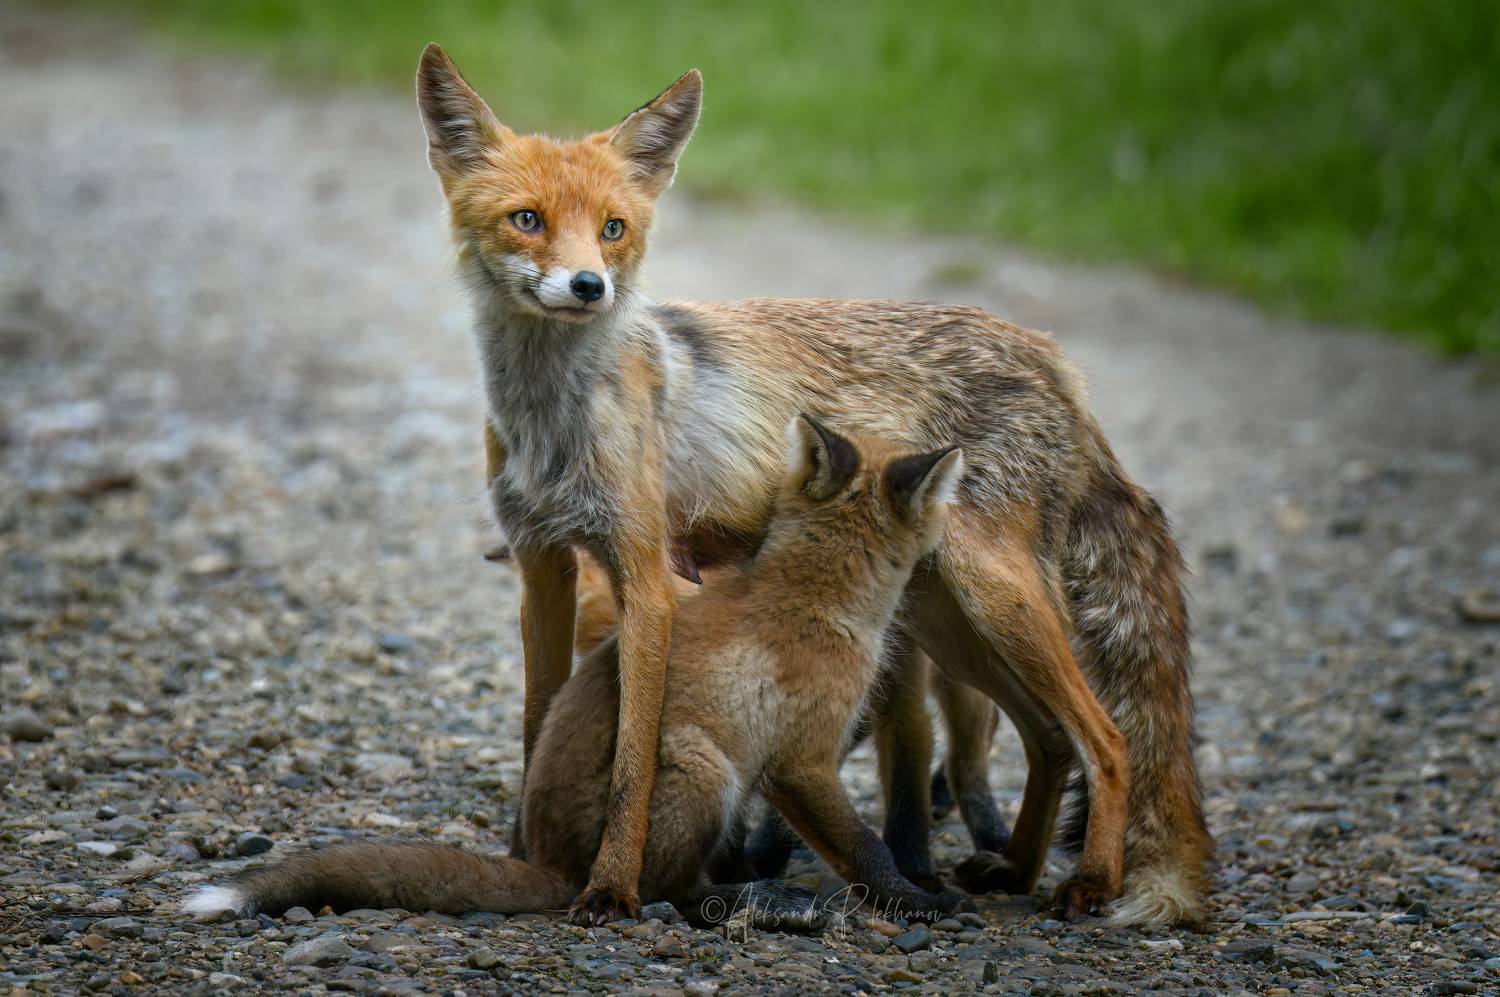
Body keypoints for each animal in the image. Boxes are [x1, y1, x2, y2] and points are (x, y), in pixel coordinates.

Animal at [184, 417, 966, 925]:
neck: (815, 591)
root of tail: (558, 867)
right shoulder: (801, 762)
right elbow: (864, 848)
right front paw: (916, 902)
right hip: (701, 767)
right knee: (673, 891)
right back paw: (736, 901)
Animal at [419, 45, 1212, 926]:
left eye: (612, 230)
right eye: (527, 219)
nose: (591, 286)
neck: (553, 421)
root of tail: (1055, 361)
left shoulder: (647, 577)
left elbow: (634, 760)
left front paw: (611, 886)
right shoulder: (544, 567)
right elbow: (537, 728)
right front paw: (524, 860)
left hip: (993, 598)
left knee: (1106, 738)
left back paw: (1090, 880)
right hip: (948, 619)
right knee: (1047, 736)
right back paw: (1013, 868)